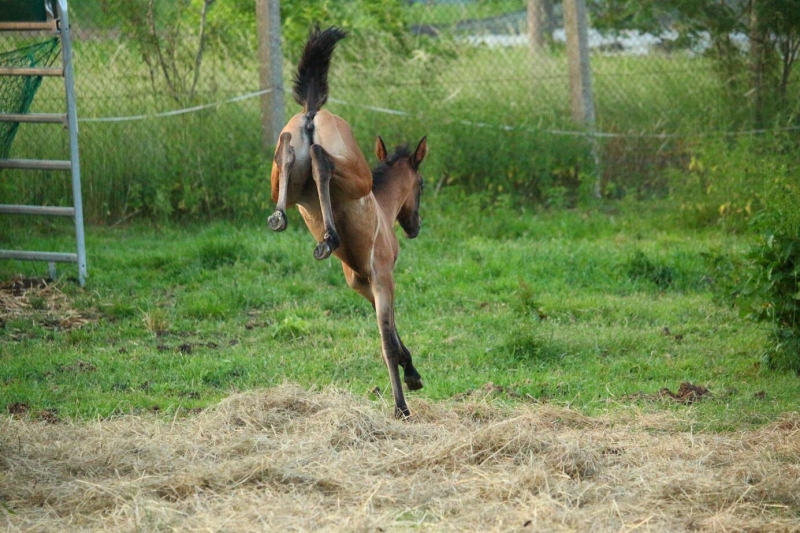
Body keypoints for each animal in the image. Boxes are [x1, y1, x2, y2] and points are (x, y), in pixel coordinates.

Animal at [266, 26, 428, 416]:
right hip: (355, 172)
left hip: (285, 178)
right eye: (423, 185)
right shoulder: (381, 278)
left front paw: (411, 374)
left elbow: (390, 334)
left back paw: (286, 219)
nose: (414, 227)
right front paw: (406, 392)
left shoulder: (361, 283)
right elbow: (388, 340)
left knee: (288, 151)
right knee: (321, 160)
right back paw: (329, 236)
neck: (383, 207)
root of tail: (312, 112)